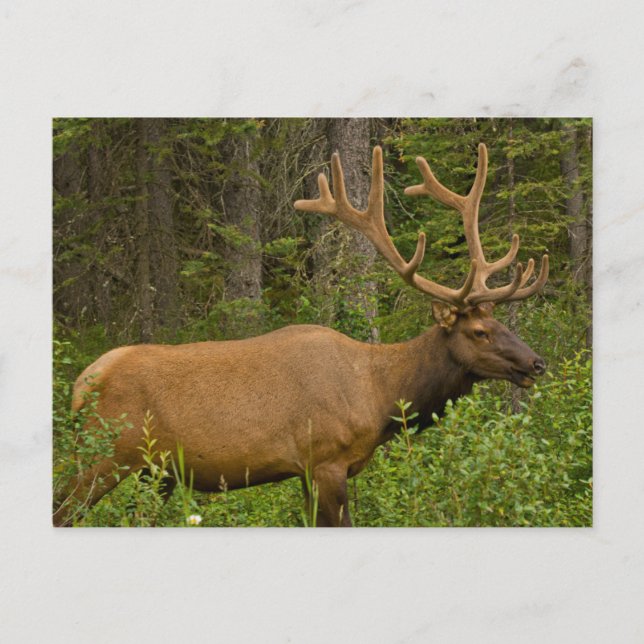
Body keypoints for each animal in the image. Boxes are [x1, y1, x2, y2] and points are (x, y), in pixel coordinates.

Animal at [53, 142, 548, 527]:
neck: (381, 396)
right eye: (480, 331)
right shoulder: (325, 460)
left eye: (502, 324)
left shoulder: (310, 473)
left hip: (153, 472)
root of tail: (80, 384)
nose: (537, 362)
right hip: (100, 456)